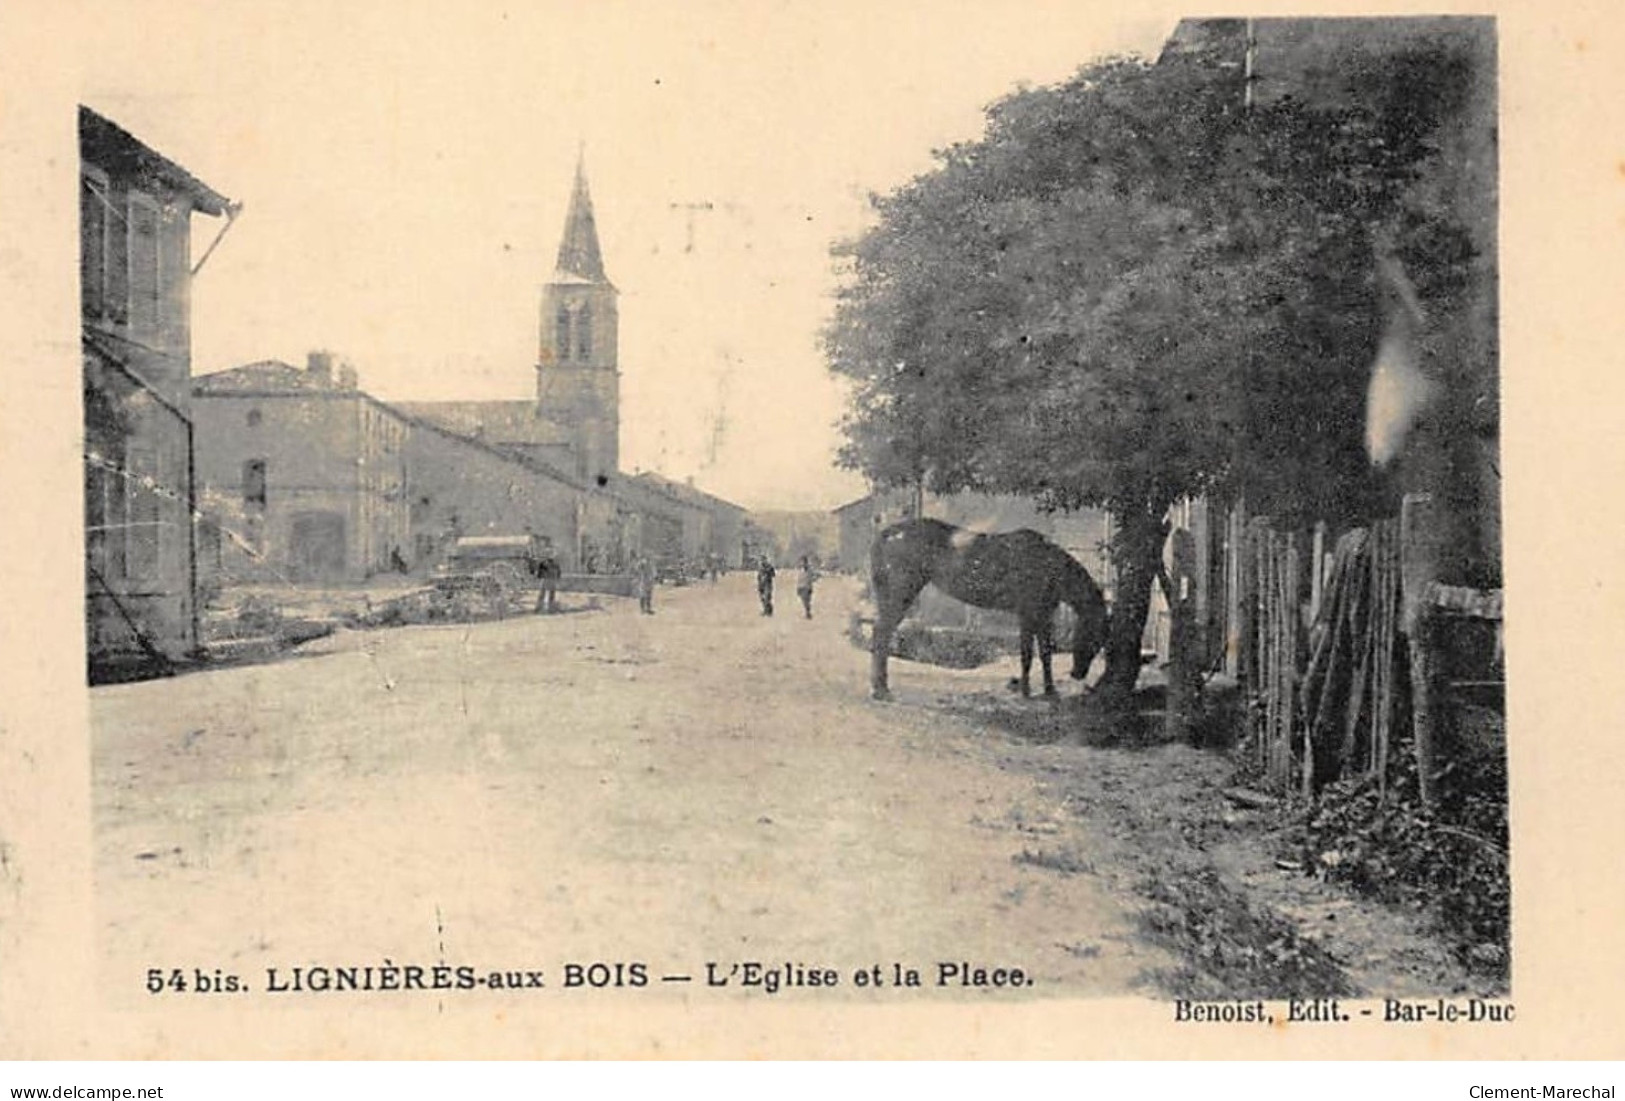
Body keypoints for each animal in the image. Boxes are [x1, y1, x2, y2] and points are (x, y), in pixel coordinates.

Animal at [871, 516, 1111, 698]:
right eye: (1093, 636)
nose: (1077, 674)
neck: (1046, 564)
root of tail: (889, 533)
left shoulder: (1043, 615)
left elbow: (1045, 653)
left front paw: (1050, 691)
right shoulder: (1027, 614)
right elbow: (1027, 654)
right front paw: (1026, 691)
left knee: (881, 631)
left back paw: (880, 687)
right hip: (902, 591)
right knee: (883, 631)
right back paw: (881, 690)